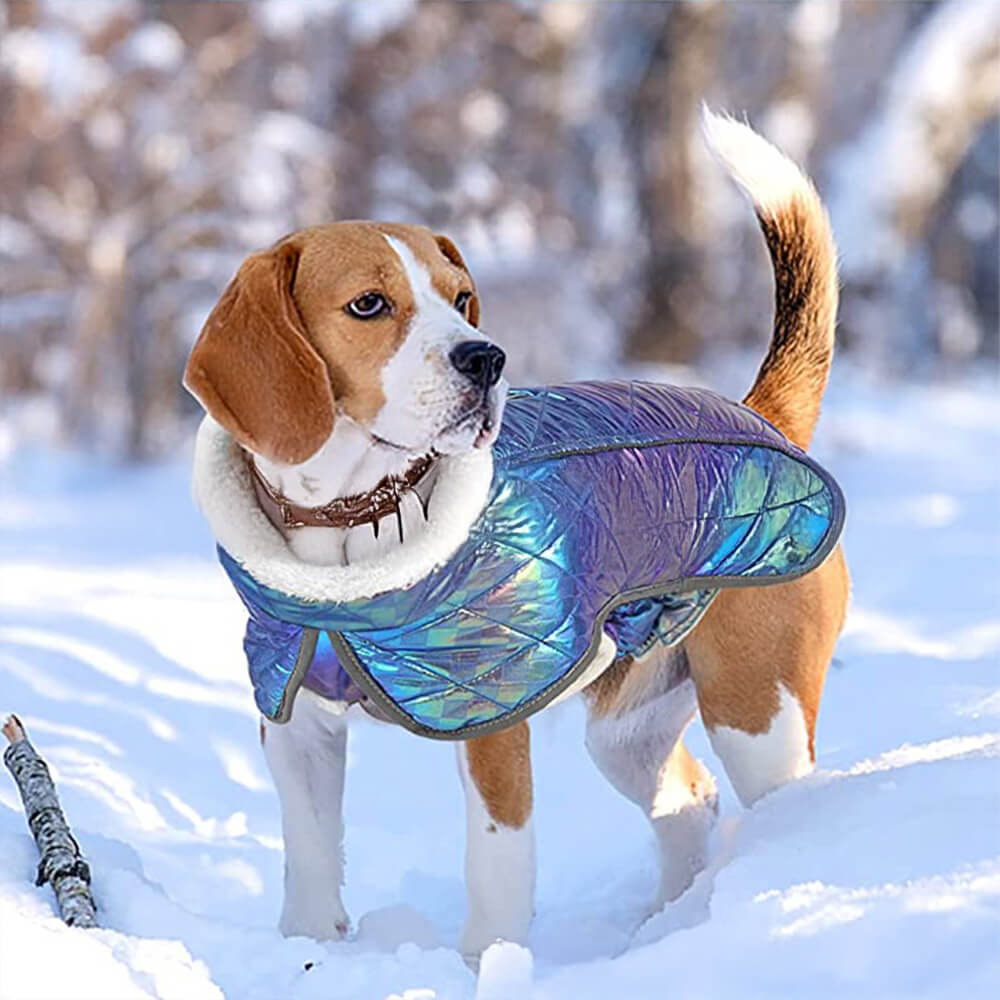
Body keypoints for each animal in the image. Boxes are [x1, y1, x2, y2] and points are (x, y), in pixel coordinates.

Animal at [184, 113, 848, 956]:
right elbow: (307, 858)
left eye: (462, 298)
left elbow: (496, 875)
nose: (486, 356)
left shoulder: (491, 725)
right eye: (368, 305)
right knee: (689, 800)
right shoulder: (296, 718)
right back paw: (661, 929)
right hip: (628, 729)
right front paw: (309, 953)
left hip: (758, 712)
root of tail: (760, 414)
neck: (357, 522)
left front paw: (484, 967)